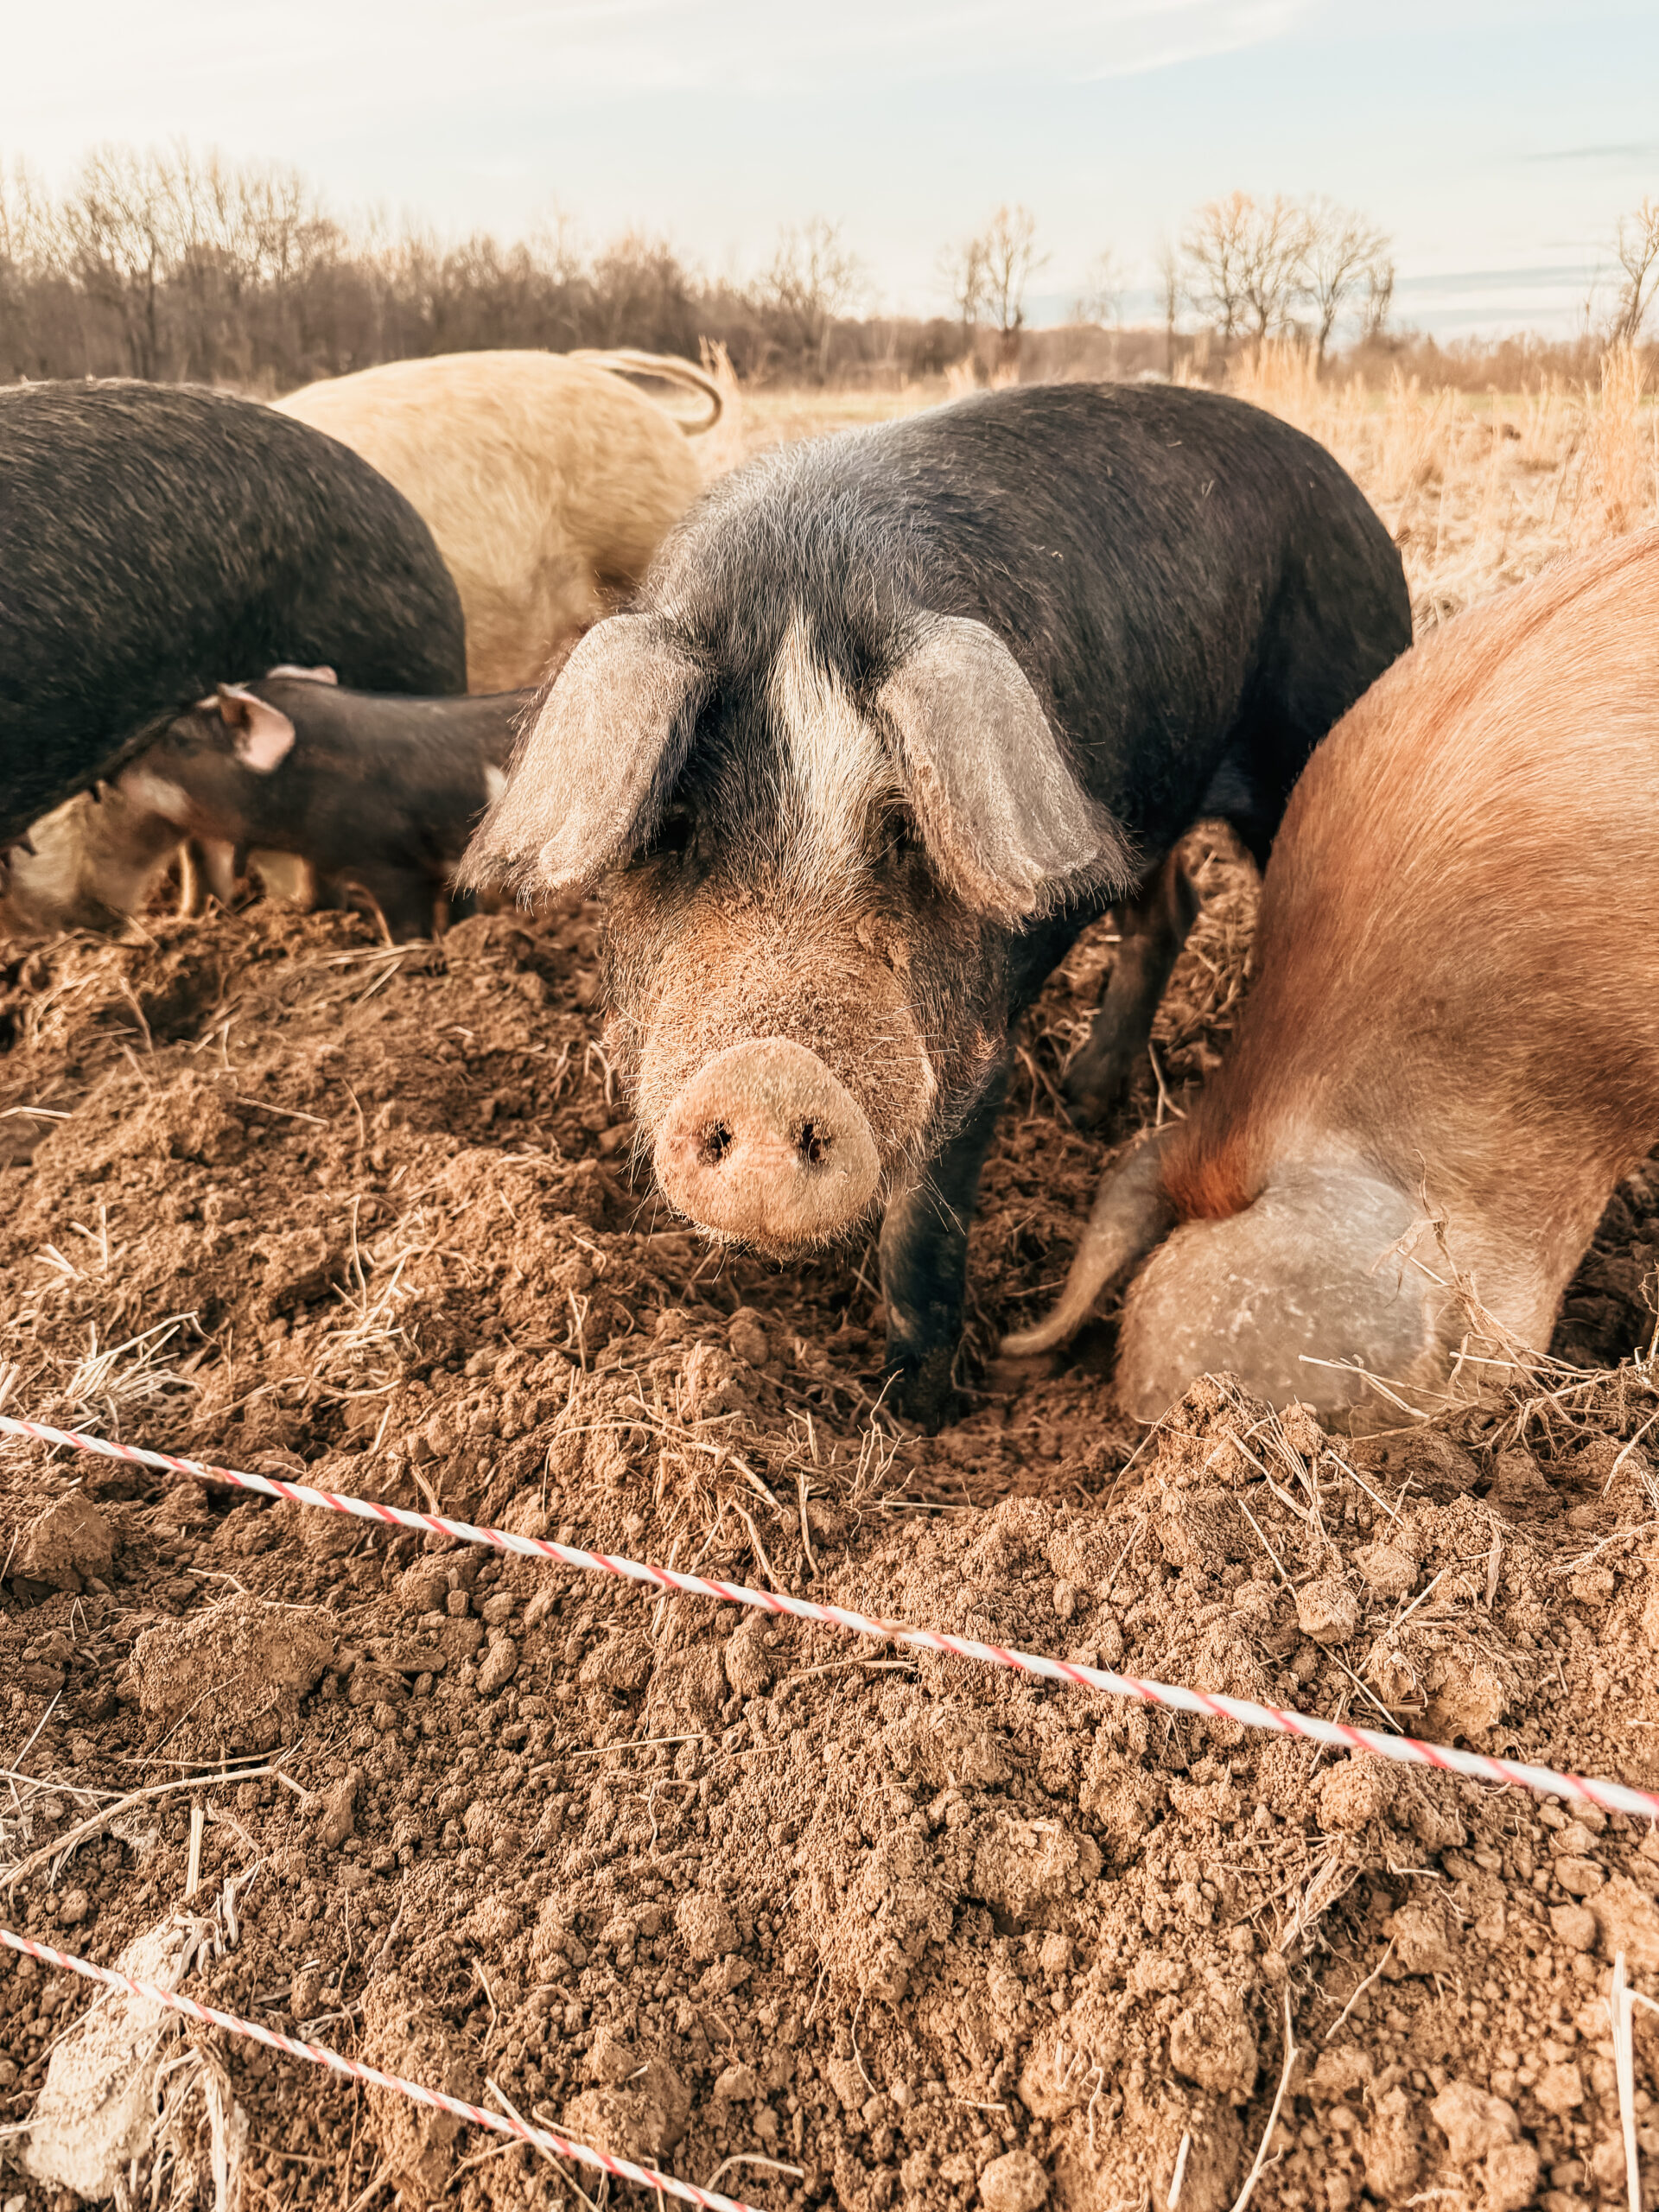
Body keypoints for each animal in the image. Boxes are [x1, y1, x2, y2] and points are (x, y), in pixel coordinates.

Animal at [462, 383, 1411, 1427]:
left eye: (908, 830)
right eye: (672, 825)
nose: (767, 1072)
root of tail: (1353, 499)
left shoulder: (973, 1043)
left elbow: (921, 1233)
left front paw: (914, 1415)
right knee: (1169, 908)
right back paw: (1082, 1100)